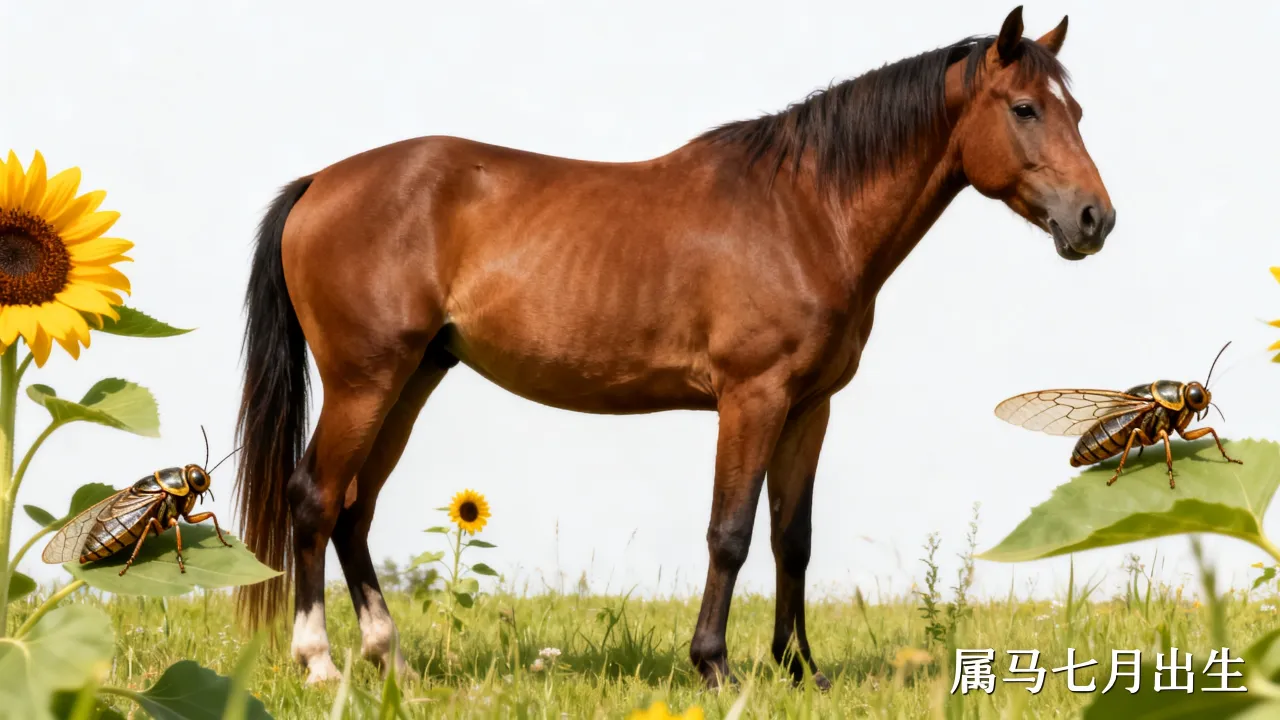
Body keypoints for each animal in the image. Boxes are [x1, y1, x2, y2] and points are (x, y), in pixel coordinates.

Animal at [233, 6, 1114, 689]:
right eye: (1026, 108)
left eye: (1076, 111)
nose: (1094, 219)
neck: (805, 211)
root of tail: (320, 182)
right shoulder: (751, 397)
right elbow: (731, 532)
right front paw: (715, 665)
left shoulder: (810, 407)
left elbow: (793, 539)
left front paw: (800, 670)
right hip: (365, 381)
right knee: (315, 497)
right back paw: (320, 663)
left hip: (414, 377)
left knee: (354, 508)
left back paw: (393, 660)